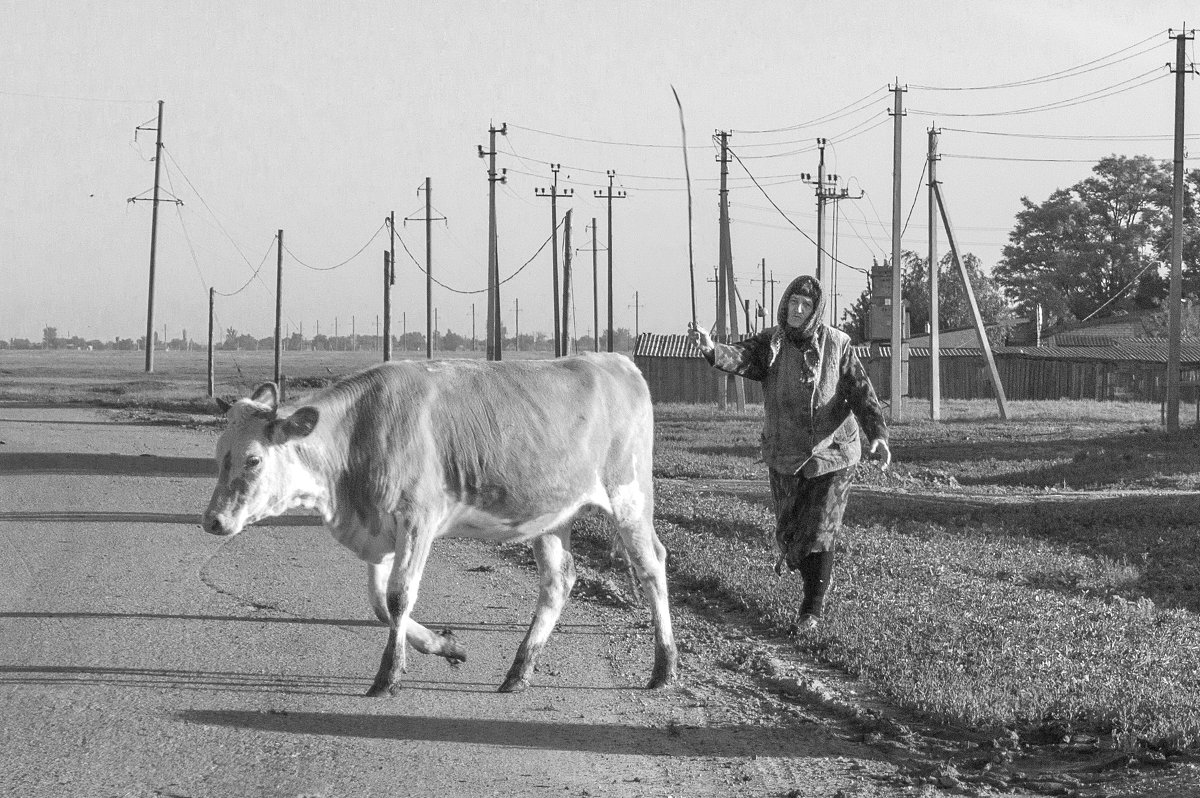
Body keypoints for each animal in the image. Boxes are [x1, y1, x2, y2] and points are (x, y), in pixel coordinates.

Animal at [201, 355, 681, 696]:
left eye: (253, 460)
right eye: (218, 453)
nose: (212, 521)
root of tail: (615, 361)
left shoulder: (418, 516)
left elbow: (399, 596)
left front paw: (388, 676)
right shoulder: (381, 528)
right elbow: (380, 602)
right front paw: (445, 645)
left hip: (630, 496)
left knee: (651, 566)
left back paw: (664, 666)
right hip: (552, 514)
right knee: (558, 580)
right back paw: (519, 671)